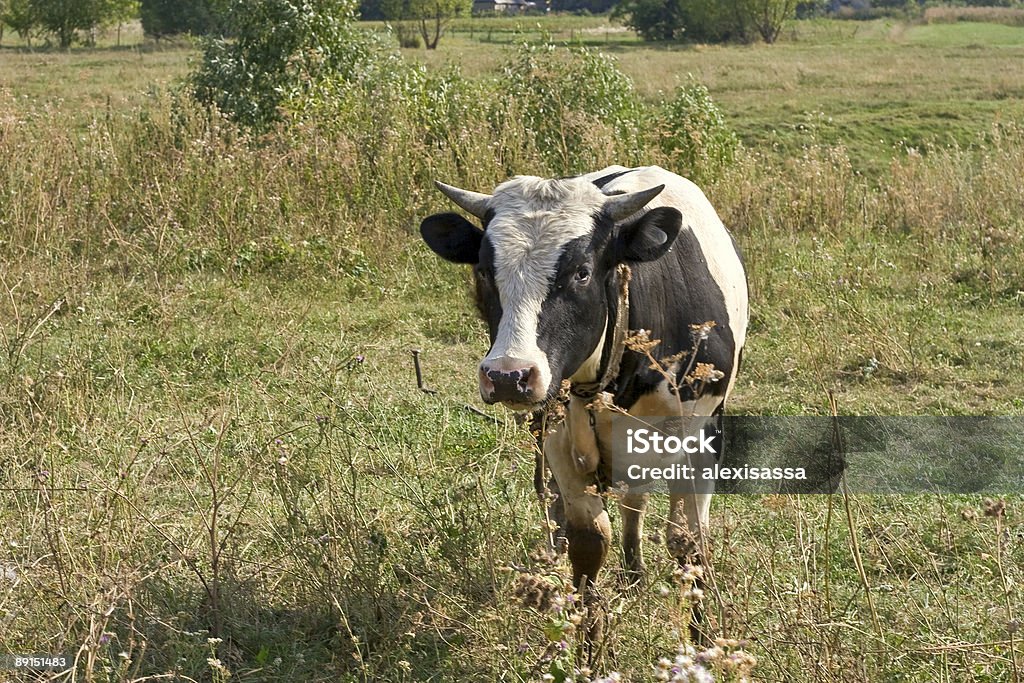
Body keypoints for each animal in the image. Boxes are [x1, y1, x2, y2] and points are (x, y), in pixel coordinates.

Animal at [419, 165, 749, 643]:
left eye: (582, 272)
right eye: (483, 271)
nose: (508, 375)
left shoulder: (702, 433)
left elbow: (688, 542)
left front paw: (703, 641)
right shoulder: (558, 437)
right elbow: (588, 541)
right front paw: (585, 643)